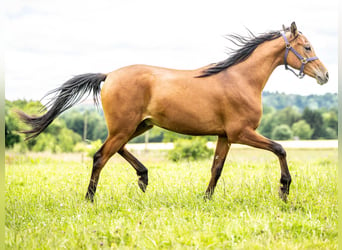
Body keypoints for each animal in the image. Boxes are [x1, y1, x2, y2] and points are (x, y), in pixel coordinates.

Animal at [18, 22, 328, 202]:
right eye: (307, 46)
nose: (324, 75)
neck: (240, 78)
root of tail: (108, 75)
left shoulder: (225, 136)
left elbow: (216, 167)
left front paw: (206, 200)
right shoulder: (241, 132)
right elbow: (280, 149)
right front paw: (284, 189)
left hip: (139, 126)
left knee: (113, 149)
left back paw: (143, 177)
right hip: (125, 127)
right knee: (100, 156)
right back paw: (90, 199)